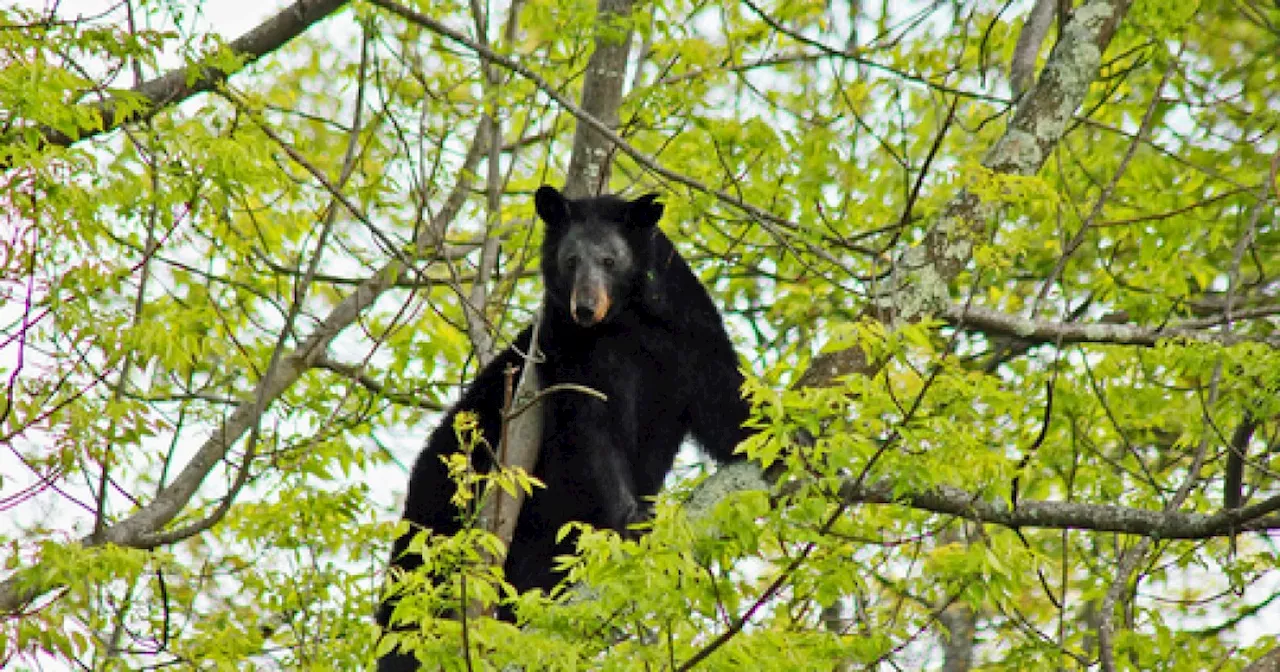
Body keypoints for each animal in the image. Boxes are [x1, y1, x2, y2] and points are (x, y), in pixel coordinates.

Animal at [373, 184, 747, 670]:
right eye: (570, 260)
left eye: (609, 259)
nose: (585, 308)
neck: (625, 322)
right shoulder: (569, 354)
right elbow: (591, 431)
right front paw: (631, 516)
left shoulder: (688, 333)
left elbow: (723, 399)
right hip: (440, 512)